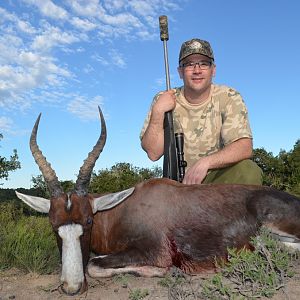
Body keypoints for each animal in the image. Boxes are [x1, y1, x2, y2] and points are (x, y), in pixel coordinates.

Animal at [15, 106, 300, 296]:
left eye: (88, 221)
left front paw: (169, 270)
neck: (123, 207)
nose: (72, 288)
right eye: (54, 224)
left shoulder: (152, 250)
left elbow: (93, 265)